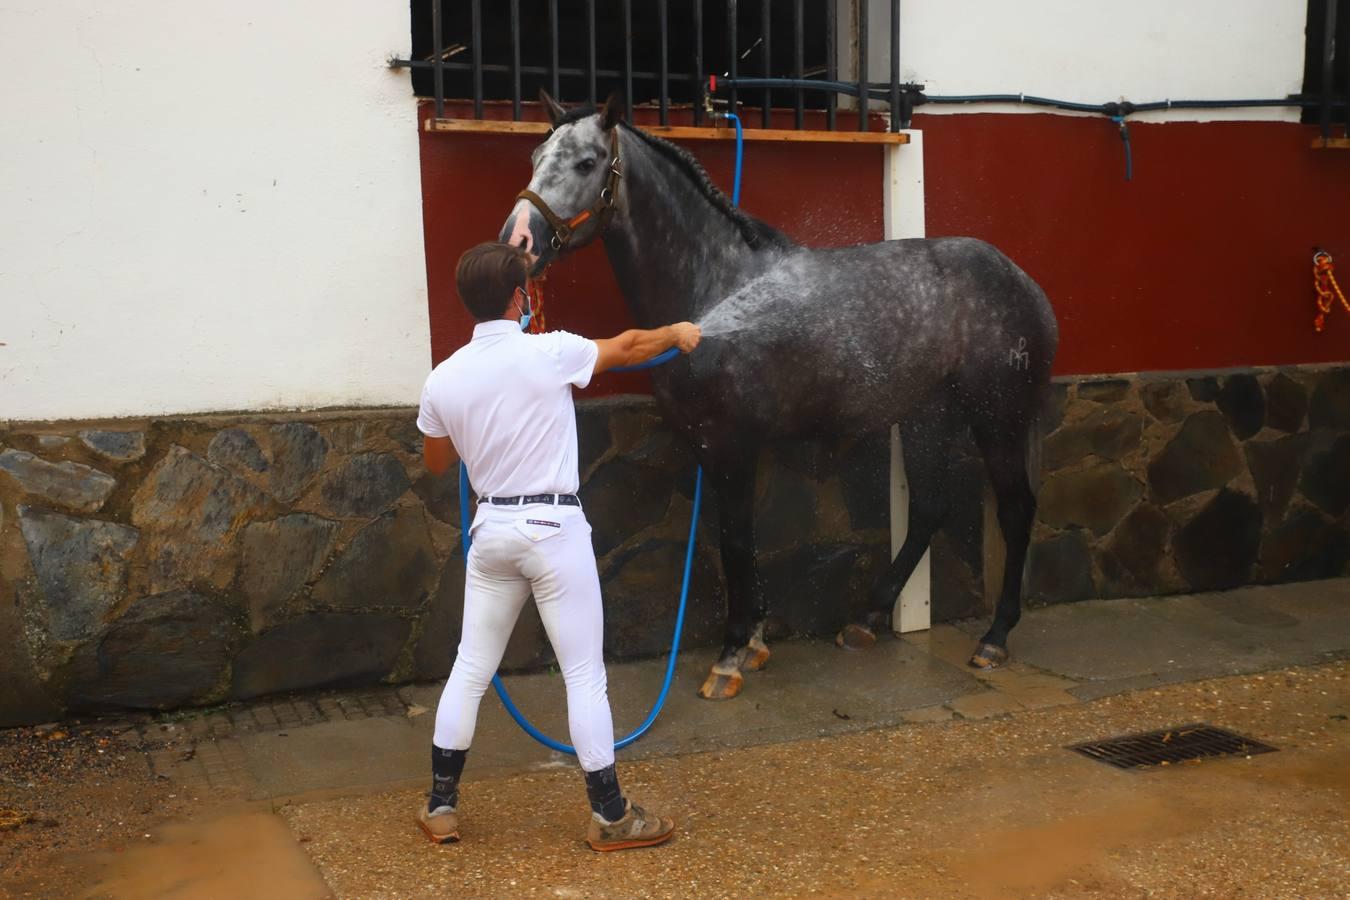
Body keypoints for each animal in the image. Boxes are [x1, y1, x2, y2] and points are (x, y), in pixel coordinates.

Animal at [502, 95, 1058, 701]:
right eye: (534, 157)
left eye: (586, 162)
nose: (518, 240)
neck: (714, 284)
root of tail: (1021, 280)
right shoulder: (711, 449)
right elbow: (737, 542)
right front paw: (755, 641)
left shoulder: (732, 446)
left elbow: (735, 542)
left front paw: (730, 657)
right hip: (925, 416)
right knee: (930, 508)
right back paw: (865, 621)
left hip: (997, 417)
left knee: (1015, 509)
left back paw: (994, 639)